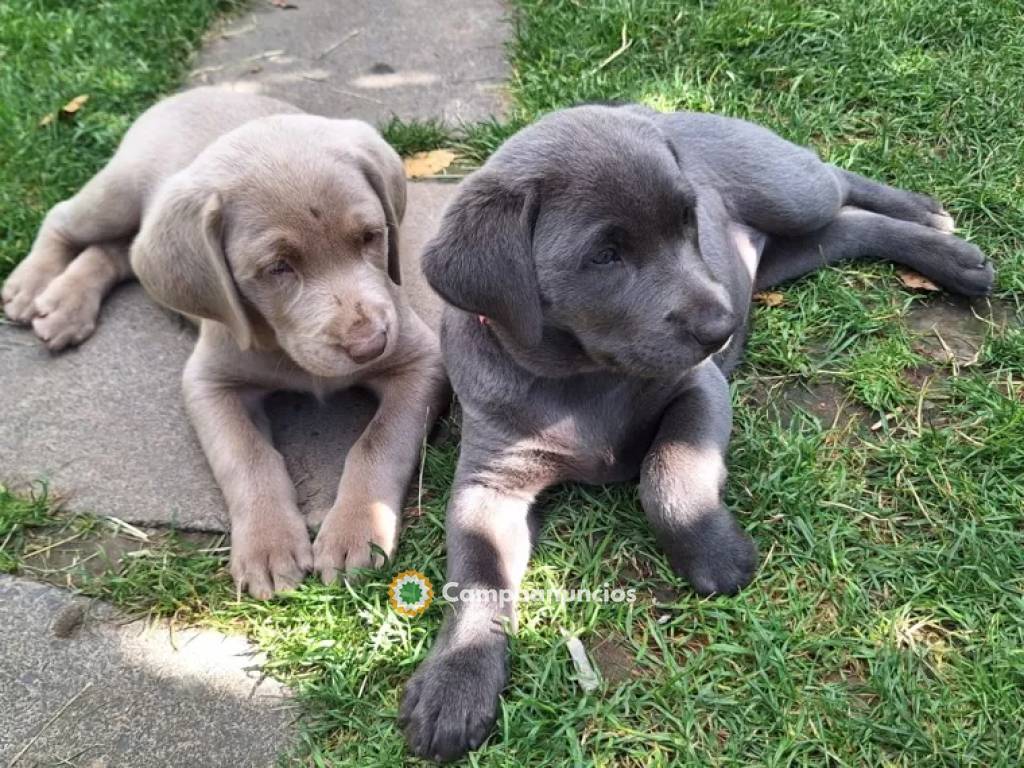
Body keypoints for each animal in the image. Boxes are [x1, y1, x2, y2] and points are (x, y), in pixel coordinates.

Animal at [397, 103, 991, 765]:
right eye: (604, 256)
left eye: (688, 224)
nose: (721, 328)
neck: (581, 379)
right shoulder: (489, 480)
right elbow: (476, 573)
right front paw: (455, 683)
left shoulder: (699, 389)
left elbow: (669, 476)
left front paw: (717, 556)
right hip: (787, 255)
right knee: (847, 228)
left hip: (787, 191)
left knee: (834, 183)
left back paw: (932, 224)